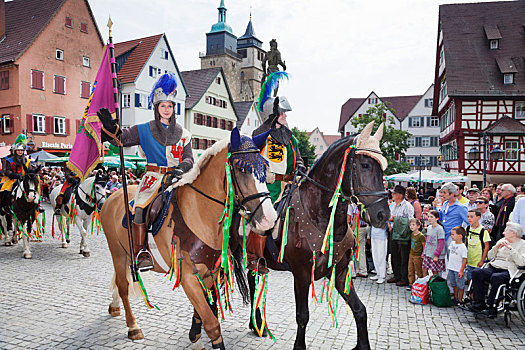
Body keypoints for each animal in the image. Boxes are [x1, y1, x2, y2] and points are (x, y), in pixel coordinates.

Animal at [100, 132, 276, 350]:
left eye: (265, 169)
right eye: (242, 169)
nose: (269, 218)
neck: (200, 212)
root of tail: (112, 197)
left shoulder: (209, 272)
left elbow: (204, 308)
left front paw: (194, 334)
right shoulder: (187, 278)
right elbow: (211, 322)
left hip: (125, 253)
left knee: (119, 279)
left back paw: (114, 306)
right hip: (116, 251)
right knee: (123, 286)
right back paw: (133, 325)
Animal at [247, 121, 388, 348]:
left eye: (383, 167)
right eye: (365, 165)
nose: (383, 214)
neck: (320, 215)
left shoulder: (340, 273)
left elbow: (360, 310)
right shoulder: (302, 274)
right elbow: (302, 315)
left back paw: (256, 323)